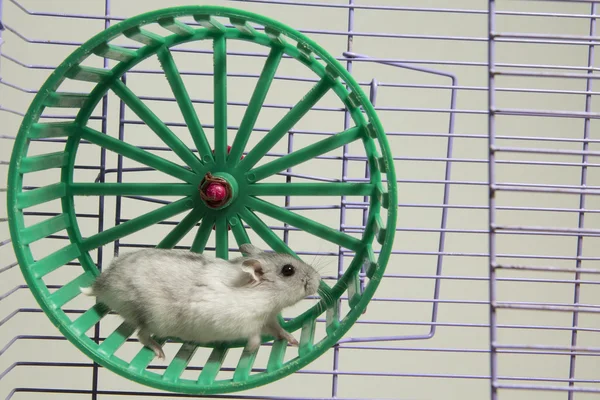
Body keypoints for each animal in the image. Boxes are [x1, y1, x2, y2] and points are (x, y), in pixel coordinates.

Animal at [83, 242, 324, 360]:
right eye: (288, 270)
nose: (319, 280)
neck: (264, 297)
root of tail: (101, 283)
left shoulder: (269, 318)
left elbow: (278, 330)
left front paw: (293, 341)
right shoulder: (243, 323)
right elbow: (254, 337)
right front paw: (250, 351)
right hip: (151, 317)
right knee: (142, 335)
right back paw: (160, 353)